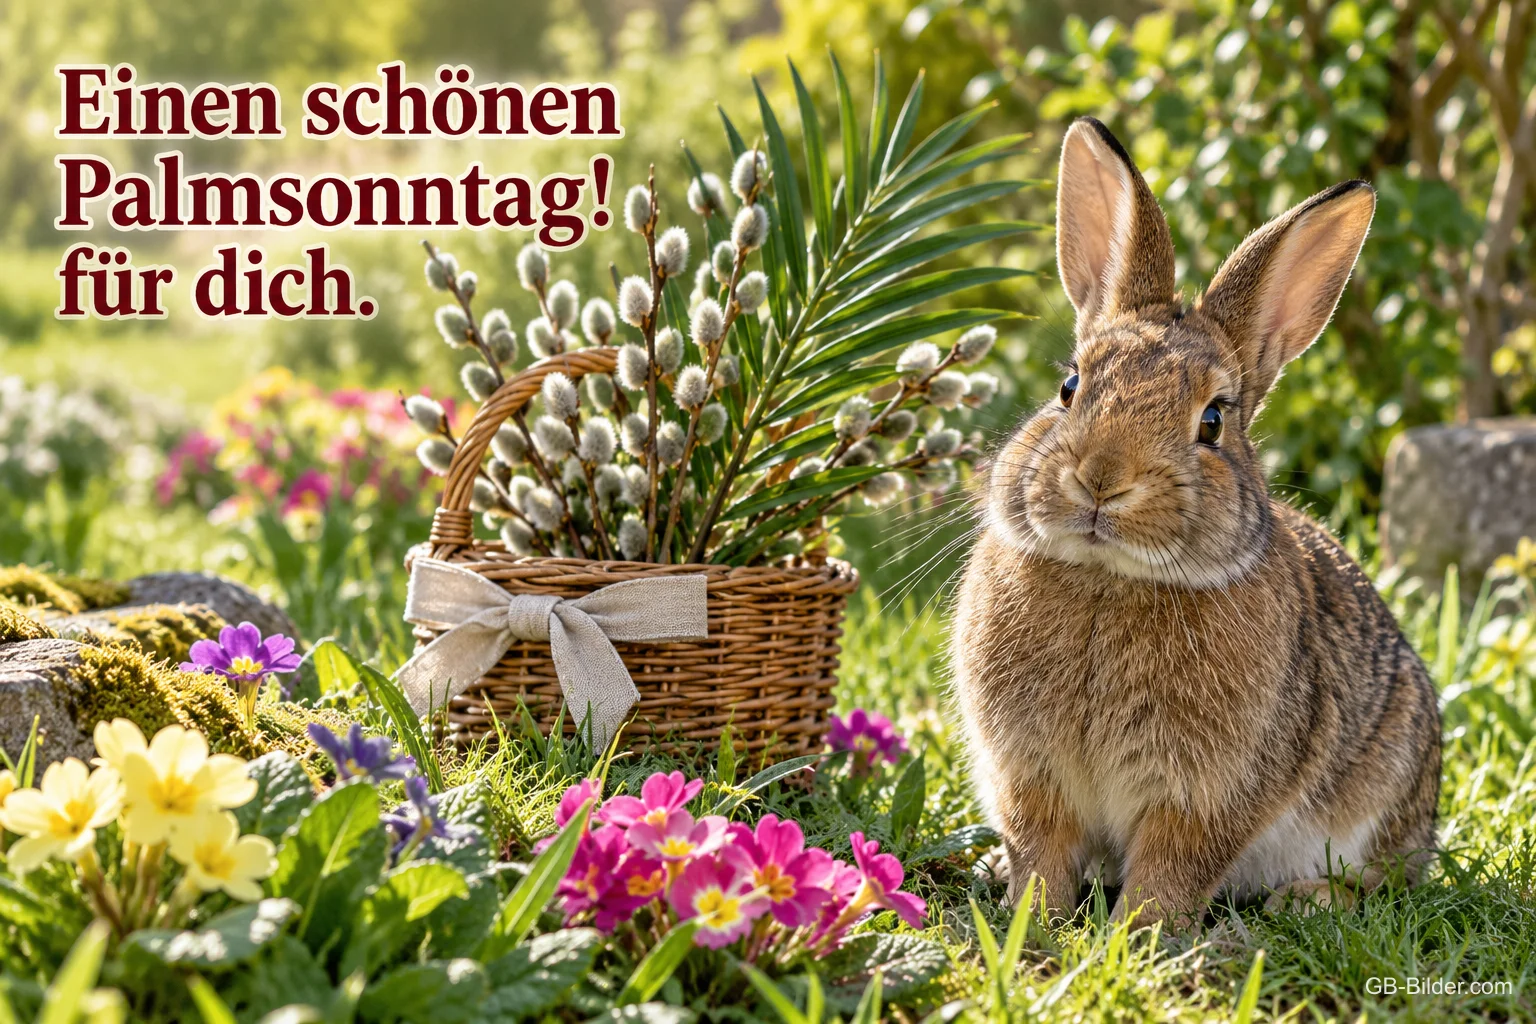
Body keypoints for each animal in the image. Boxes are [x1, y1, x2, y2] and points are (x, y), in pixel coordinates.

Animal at [952, 117, 1441, 929]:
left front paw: (1137, 938)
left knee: (1385, 881)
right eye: (1070, 386)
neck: (1110, 579)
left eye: (1212, 421)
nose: (1102, 478)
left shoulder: (1205, 796)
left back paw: (1306, 902)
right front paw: (1032, 926)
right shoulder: (1032, 779)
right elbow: (1042, 854)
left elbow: (1171, 870)